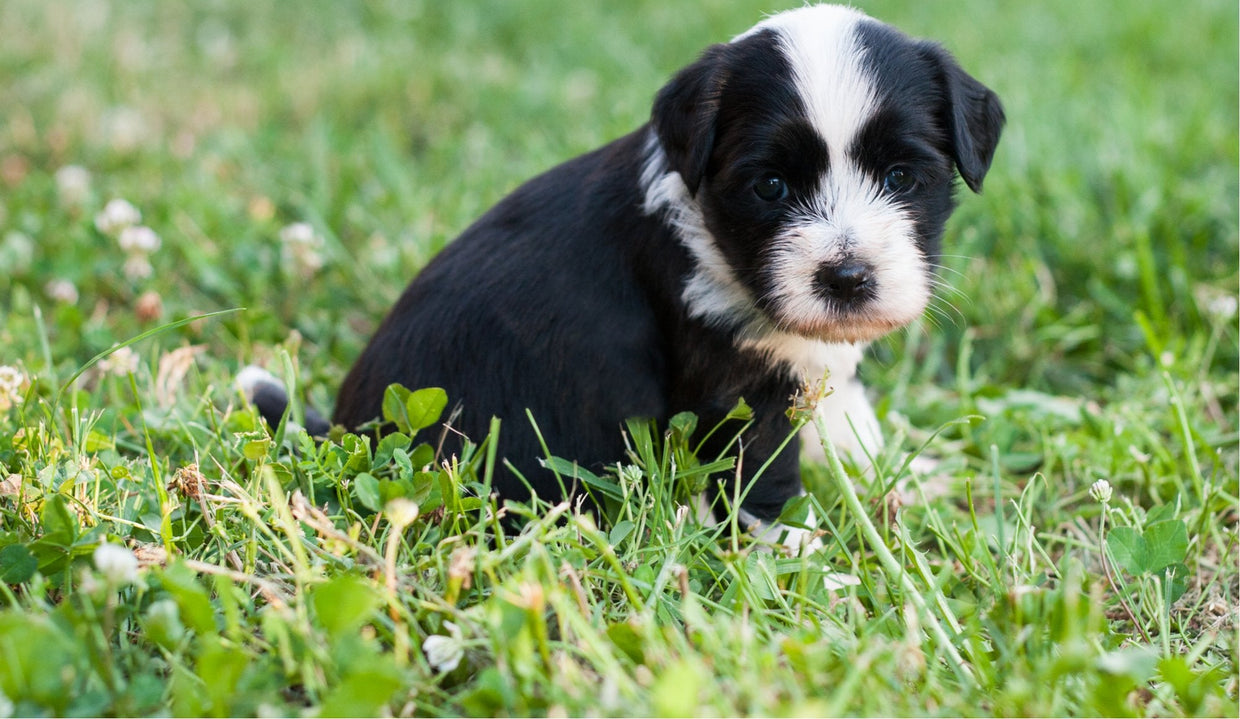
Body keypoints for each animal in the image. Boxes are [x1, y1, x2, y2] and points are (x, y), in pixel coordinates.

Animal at [249, 2, 996, 542]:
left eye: (902, 177)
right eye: (772, 187)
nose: (846, 277)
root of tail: (348, 432)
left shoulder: (803, 358)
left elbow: (849, 423)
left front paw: (911, 482)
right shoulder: (735, 383)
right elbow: (761, 477)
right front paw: (796, 553)